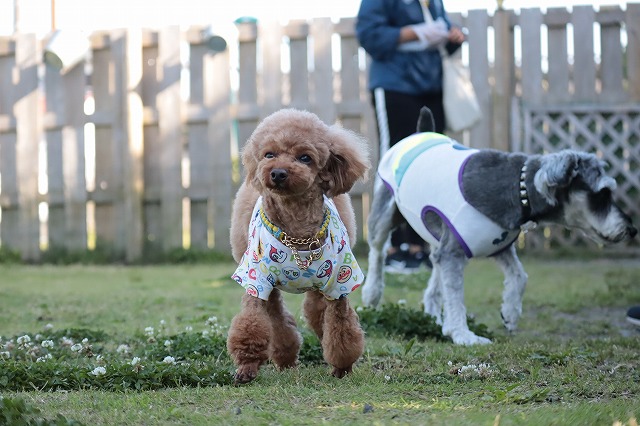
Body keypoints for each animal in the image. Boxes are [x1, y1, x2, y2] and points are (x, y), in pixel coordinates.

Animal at [227, 108, 371, 383]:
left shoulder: (339, 283)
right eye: (269, 154)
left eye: (305, 158)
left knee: (316, 310)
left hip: (321, 283)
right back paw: (285, 358)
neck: (298, 233)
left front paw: (342, 367)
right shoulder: (255, 280)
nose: (277, 173)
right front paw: (247, 368)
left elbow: (341, 327)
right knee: (276, 316)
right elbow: (252, 323)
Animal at [363, 107, 637, 345]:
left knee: (434, 271)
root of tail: (421, 132)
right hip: (385, 214)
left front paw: (510, 314)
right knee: (377, 250)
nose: (632, 230)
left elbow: (519, 276)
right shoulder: (454, 253)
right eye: (602, 194)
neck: (519, 188)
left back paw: (432, 315)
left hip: (436, 237)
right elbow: (456, 295)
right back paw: (372, 293)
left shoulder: (498, 246)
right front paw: (463, 334)